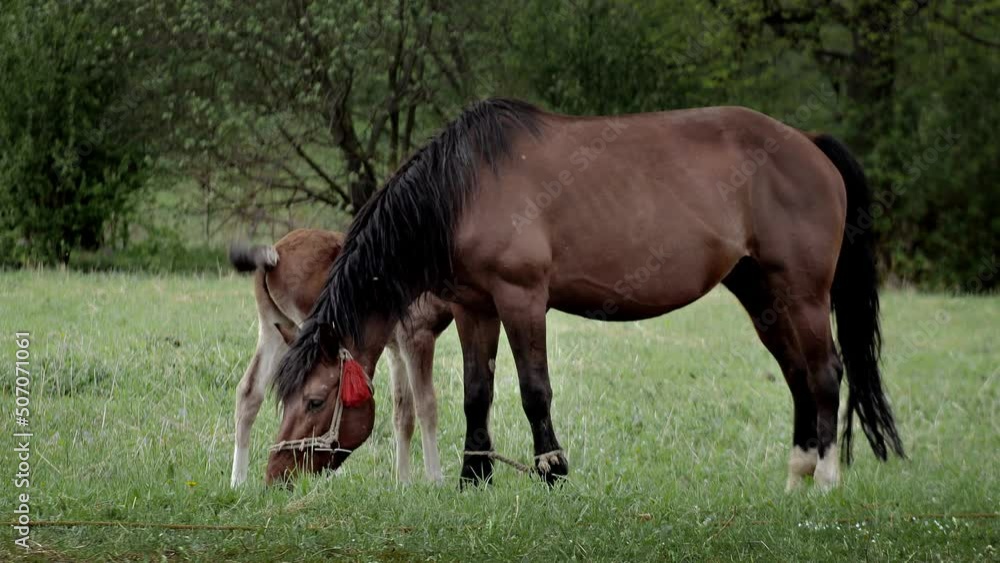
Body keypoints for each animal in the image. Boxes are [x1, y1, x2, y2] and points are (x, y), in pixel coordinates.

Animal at [229, 229, 452, 490]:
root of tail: (274, 256)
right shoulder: (416, 336)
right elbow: (426, 405)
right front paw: (435, 481)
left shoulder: (395, 348)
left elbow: (402, 412)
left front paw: (403, 483)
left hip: (275, 328)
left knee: (249, 391)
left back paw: (237, 482)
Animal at [268, 99, 908, 492]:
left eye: (318, 399)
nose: (276, 473)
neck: (462, 189)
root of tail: (809, 143)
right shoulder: (476, 307)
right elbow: (478, 392)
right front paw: (475, 478)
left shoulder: (522, 298)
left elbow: (534, 390)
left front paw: (552, 471)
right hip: (764, 296)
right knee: (798, 375)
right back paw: (796, 476)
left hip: (803, 293)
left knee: (825, 373)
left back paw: (825, 479)